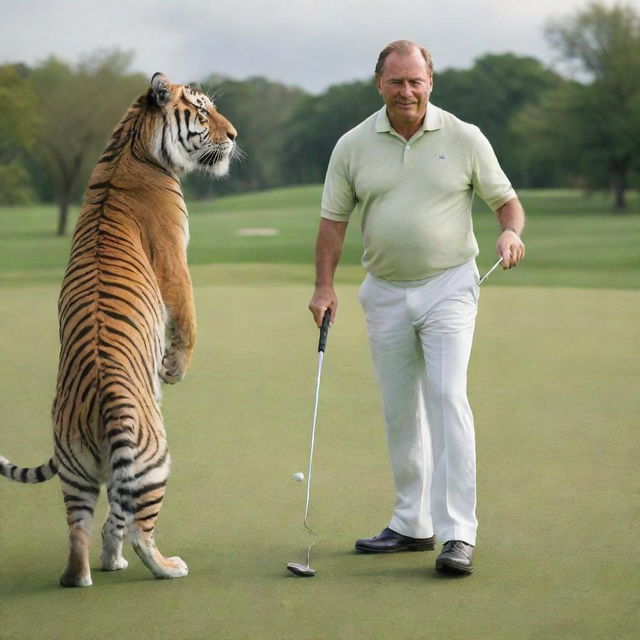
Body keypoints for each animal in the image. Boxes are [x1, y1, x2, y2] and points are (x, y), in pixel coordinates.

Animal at [0, 72, 238, 588]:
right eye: (203, 112)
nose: (233, 136)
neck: (129, 143)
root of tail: (103, 400)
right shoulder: (173, 257)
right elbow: (187, 318)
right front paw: (175, 369)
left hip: (78, 472)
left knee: (81, 532)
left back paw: (86, 572)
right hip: (155, 461)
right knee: (139, 530)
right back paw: (166, 567)